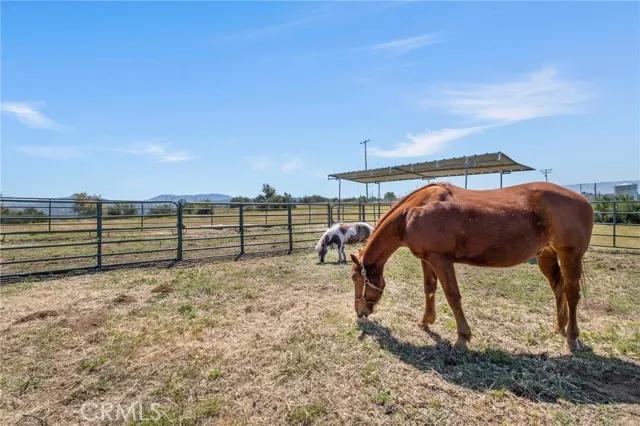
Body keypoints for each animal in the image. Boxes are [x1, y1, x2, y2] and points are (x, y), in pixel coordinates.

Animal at [350, 181, 596, 352]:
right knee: (558, 288)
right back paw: (560, 327)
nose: (360, 313)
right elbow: (429, 289)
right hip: (547, 255)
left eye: (355, 279)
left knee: (572, 294)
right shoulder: (427, 259)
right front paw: (426, 322)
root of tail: (584, 200)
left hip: (570, 256)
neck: (413, 212)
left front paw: (462, 337)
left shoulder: (441, 260)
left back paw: (572, 338)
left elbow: (452, 296)